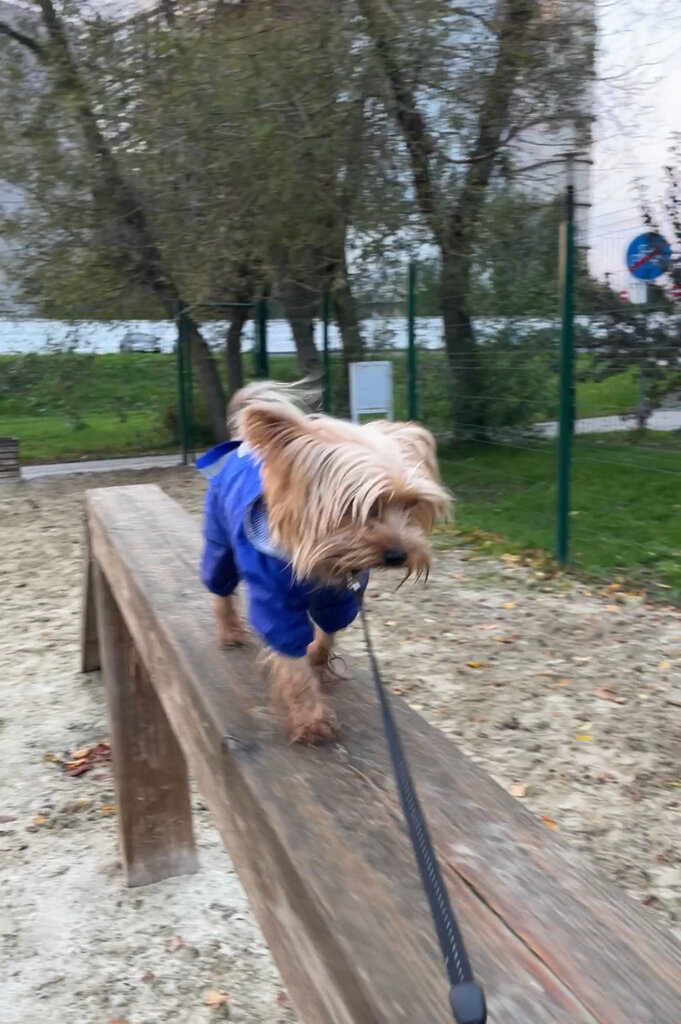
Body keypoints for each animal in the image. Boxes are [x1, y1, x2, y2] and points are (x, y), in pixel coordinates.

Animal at [198, 380, 451, 744]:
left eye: (411, 504)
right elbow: (292, 659)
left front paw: (319, 662)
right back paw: (229, 631)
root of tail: (241, 445)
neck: (326, 560)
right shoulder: (277, 604)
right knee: (220, 585)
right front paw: (310, 720)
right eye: (358, 507)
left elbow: (328, 634)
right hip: (219, 540)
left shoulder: (340, 599)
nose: (398, 554)